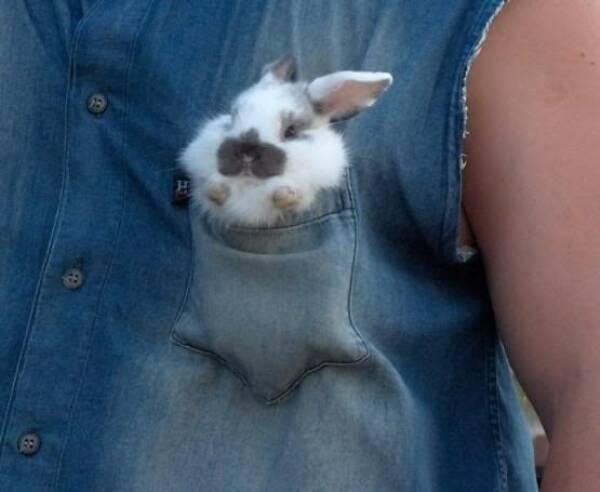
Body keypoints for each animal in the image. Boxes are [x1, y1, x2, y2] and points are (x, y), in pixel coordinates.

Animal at [180, 56, 393, 227]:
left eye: (291, 131)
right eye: (232, 118)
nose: (247, 153)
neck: (251, 184)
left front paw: (284, 195)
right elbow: (212, 192)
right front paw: (217, 189)